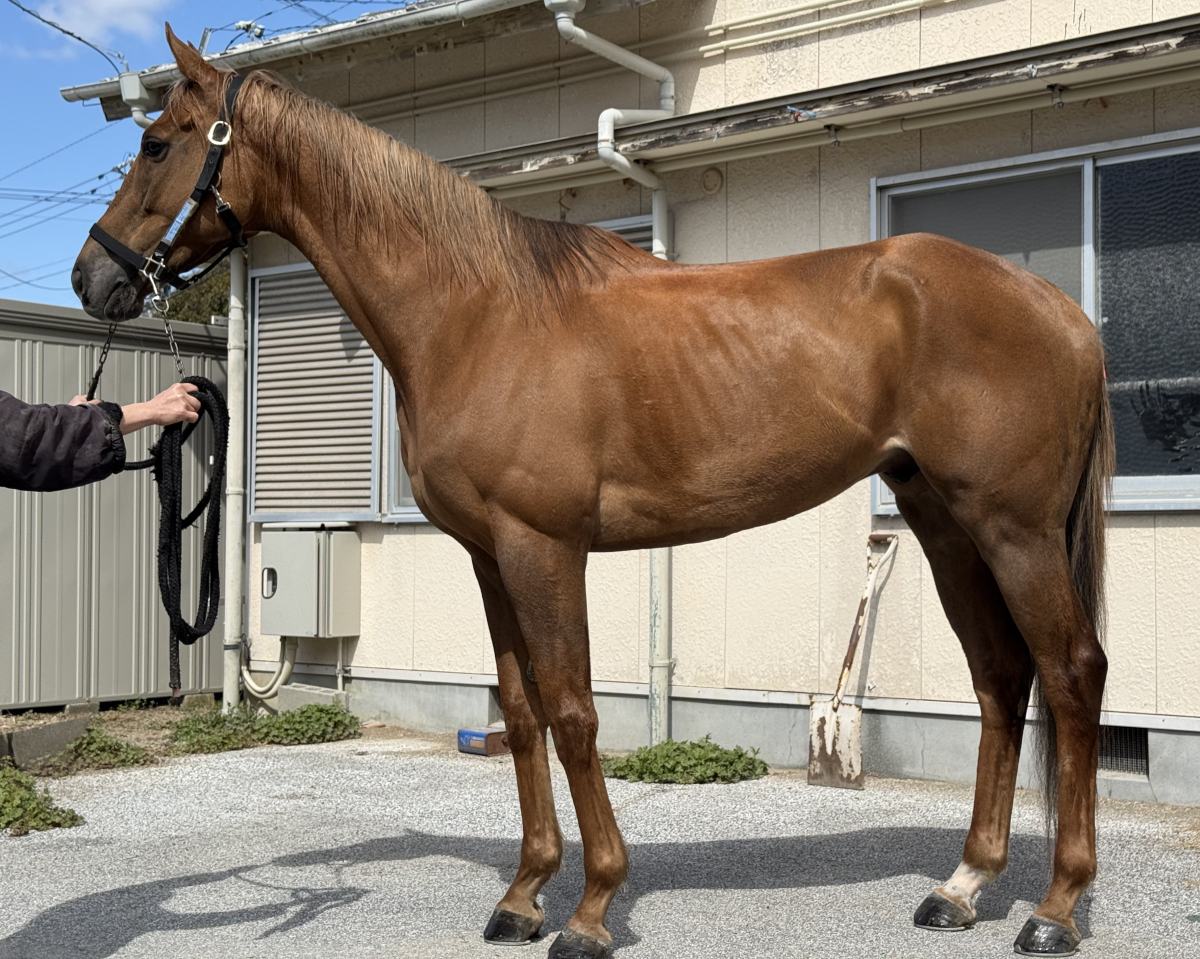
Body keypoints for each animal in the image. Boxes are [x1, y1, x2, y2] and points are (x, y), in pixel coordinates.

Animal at [72, 25, 1114, 959]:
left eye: (159, 142)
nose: (92, 277)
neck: (477, 315)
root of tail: (1061, 309)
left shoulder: (543, 545)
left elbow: (574, 709)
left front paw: (590, 907)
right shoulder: (488, 553)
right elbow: (521, 707)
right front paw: (523, 894)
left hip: (1013, 528)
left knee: (1070, 672)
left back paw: (1055, 908)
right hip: (945, 524)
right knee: (999, 677)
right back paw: (963, 886)